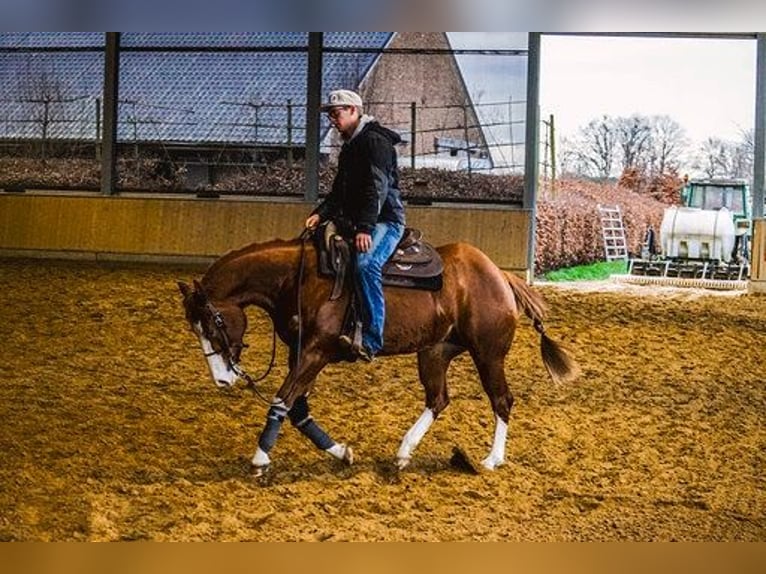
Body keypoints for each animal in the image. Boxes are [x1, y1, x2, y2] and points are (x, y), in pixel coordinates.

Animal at [177, 235, 580, 476]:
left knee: (501, 400)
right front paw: (341, 452)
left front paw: (260, 458)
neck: (300, 278)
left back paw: (492, 459)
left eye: (213, 321)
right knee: (438, 399)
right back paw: (403, 452)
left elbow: (282, 400)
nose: (223, 379)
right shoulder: (300, 353)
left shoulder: (316, 352)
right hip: (434, 352)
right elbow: (298, 410)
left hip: (488, 354)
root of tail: (500, 276)